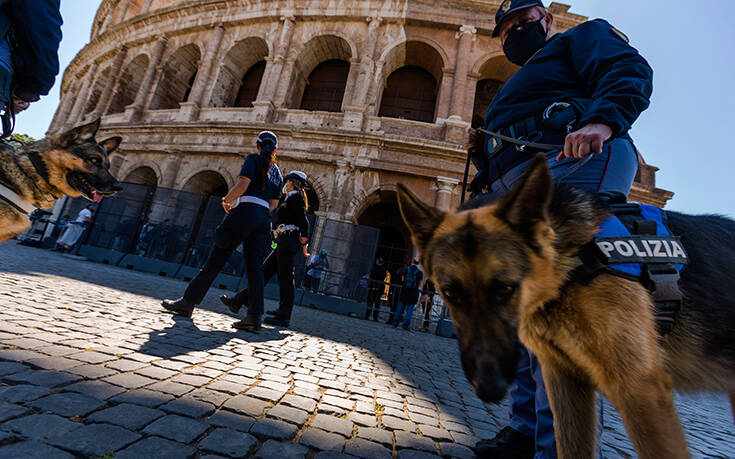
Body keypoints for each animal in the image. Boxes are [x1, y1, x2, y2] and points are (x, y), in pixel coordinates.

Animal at [400, 155, 732, 459]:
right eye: (450, 293)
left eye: (507, 288)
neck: (574, 260)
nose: (489, 389)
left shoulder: (641, 389)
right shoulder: (565, 381)